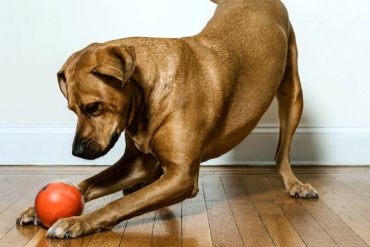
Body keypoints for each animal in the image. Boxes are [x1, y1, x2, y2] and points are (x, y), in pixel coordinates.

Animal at [16, 0, 318, 239]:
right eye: (72, 110)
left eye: (93, 107)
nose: (76, 152)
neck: (146, 96)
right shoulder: (136, 163)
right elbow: (88, 185)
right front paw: (37, 208)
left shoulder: (182, 177)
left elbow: (116, 205)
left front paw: (77, 222)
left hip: (292, 94)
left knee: (281, 152)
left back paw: (295, 184)